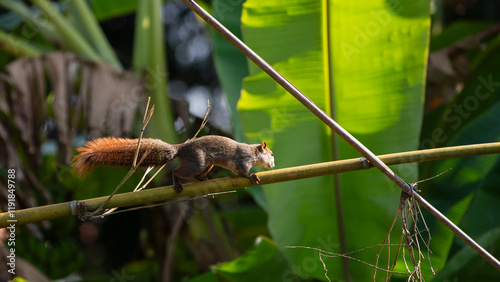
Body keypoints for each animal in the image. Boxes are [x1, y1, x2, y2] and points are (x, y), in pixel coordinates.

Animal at [71, 135, 274, 193]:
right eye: (271, 154)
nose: (273, 165)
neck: (253, 153)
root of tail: (181, 149)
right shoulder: (242, 160)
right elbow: (243, 172)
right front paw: (252, 176)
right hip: (197, 162)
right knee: (177, 171)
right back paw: (177, 184)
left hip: (206, 164)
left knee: (195, 173)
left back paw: (202, 179)